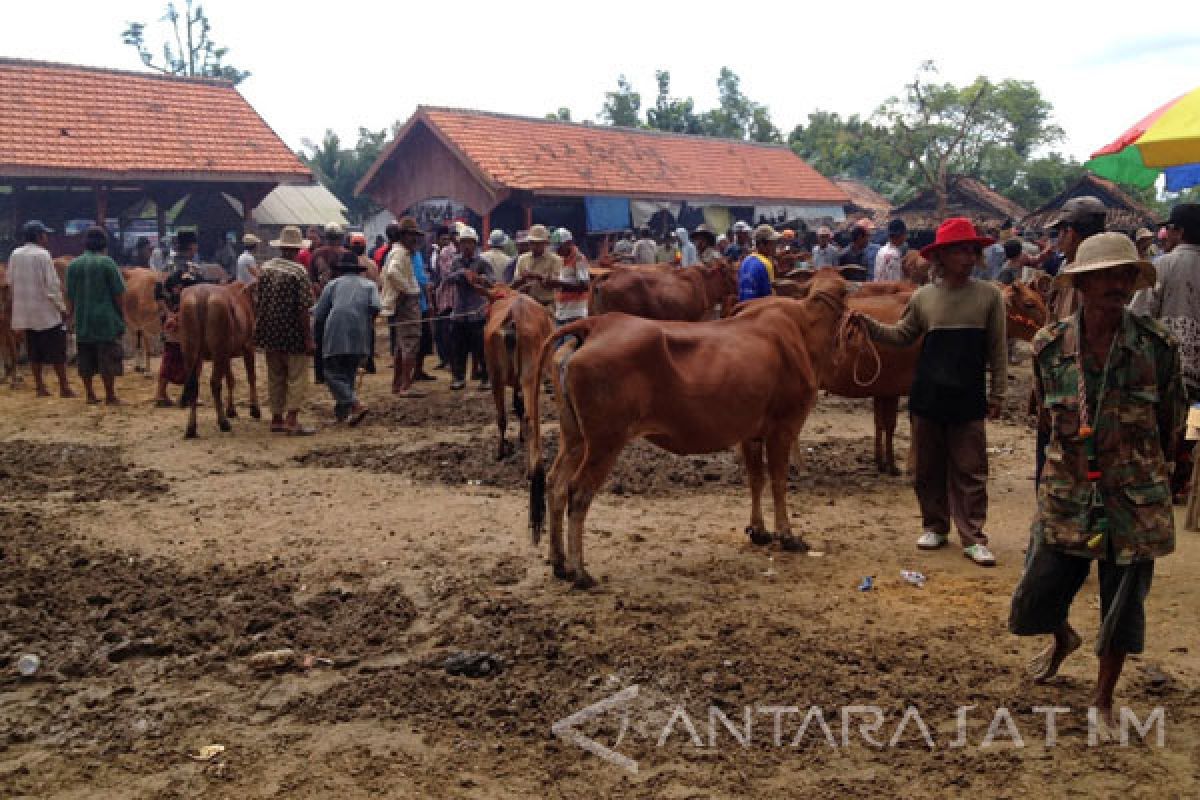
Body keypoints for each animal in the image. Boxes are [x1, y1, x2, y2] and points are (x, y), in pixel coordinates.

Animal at [480, 287, 554, 462]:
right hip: (530, 377)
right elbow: (519, 405)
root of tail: (513, 316)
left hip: (495, 377)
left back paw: (501, 451)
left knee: (502, 417)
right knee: (530, 416)